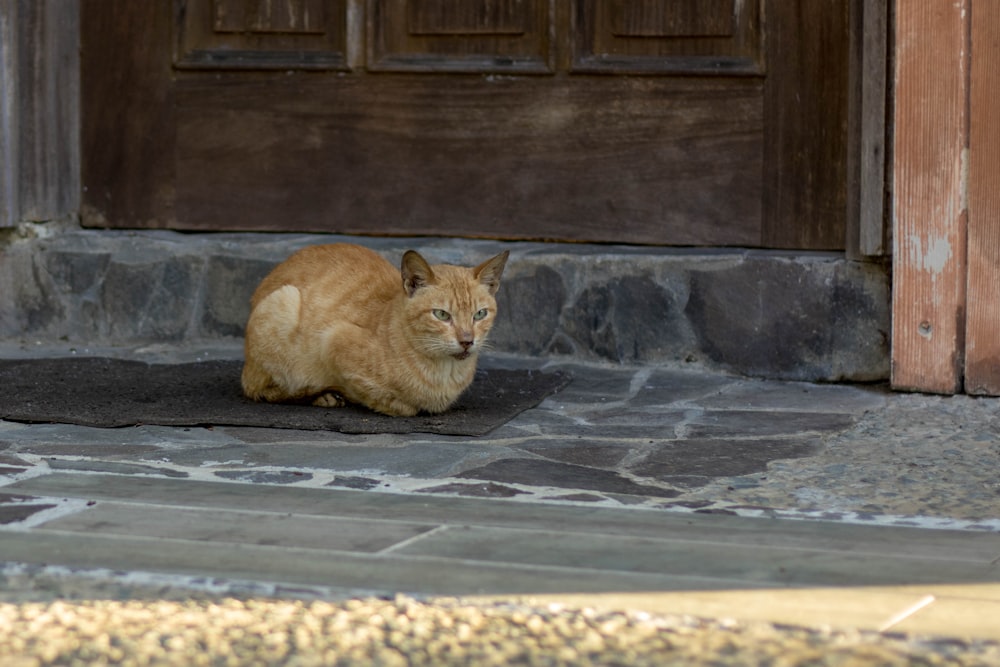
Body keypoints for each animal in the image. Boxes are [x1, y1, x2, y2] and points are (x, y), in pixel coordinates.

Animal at [241, 243, 508, 414]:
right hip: (283, 302)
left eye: (480, 314)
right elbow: (401, 406)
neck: (445, 374)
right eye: (442, 315)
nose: (467, 341)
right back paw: (322, 397)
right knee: (261, 389)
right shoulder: (334, 341)